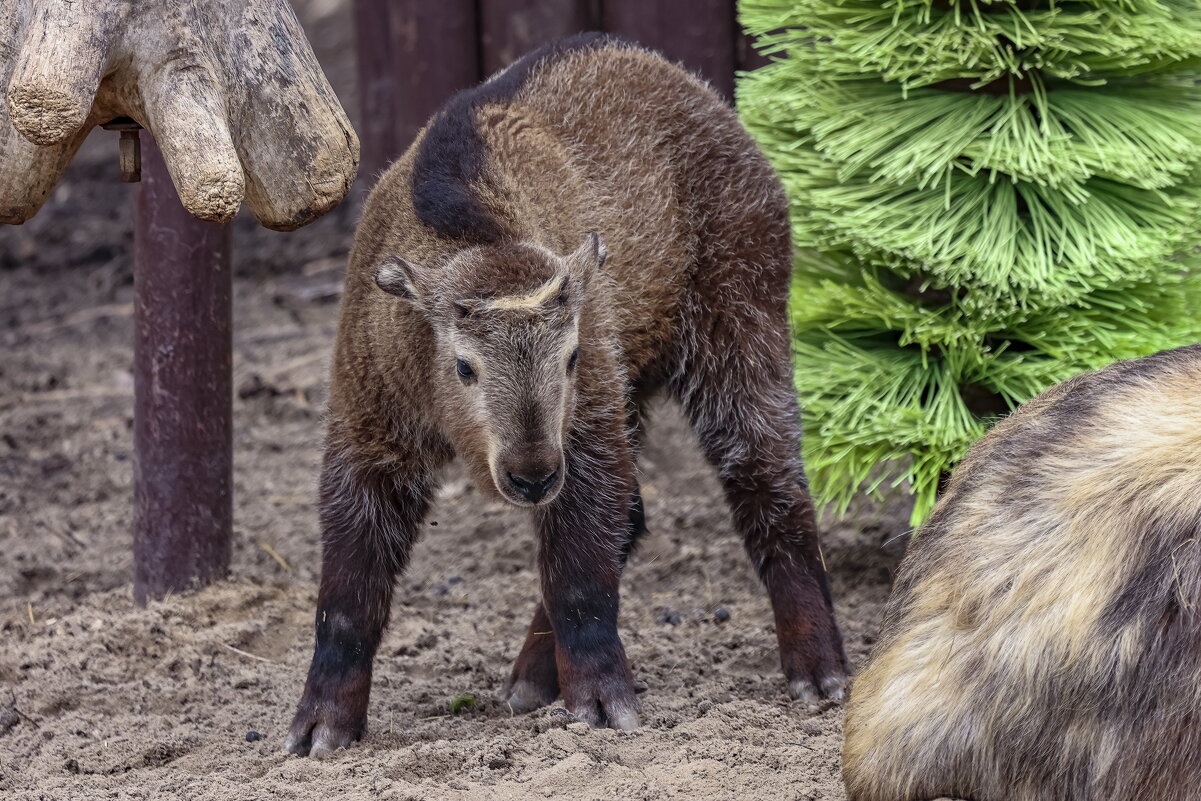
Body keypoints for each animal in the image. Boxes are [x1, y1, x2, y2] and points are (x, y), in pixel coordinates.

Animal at [283, 32, 845, 758]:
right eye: (463, 366)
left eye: (570, 355)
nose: (529, 474)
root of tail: (696, 90)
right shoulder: (367, 435)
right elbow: (346, 599)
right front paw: (320, 724)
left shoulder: (586, 429)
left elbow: (578, 573)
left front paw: (603, 703)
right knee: (632, 518)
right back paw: (530, 678)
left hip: (741, 331)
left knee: (770, 487)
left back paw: (819, 671)